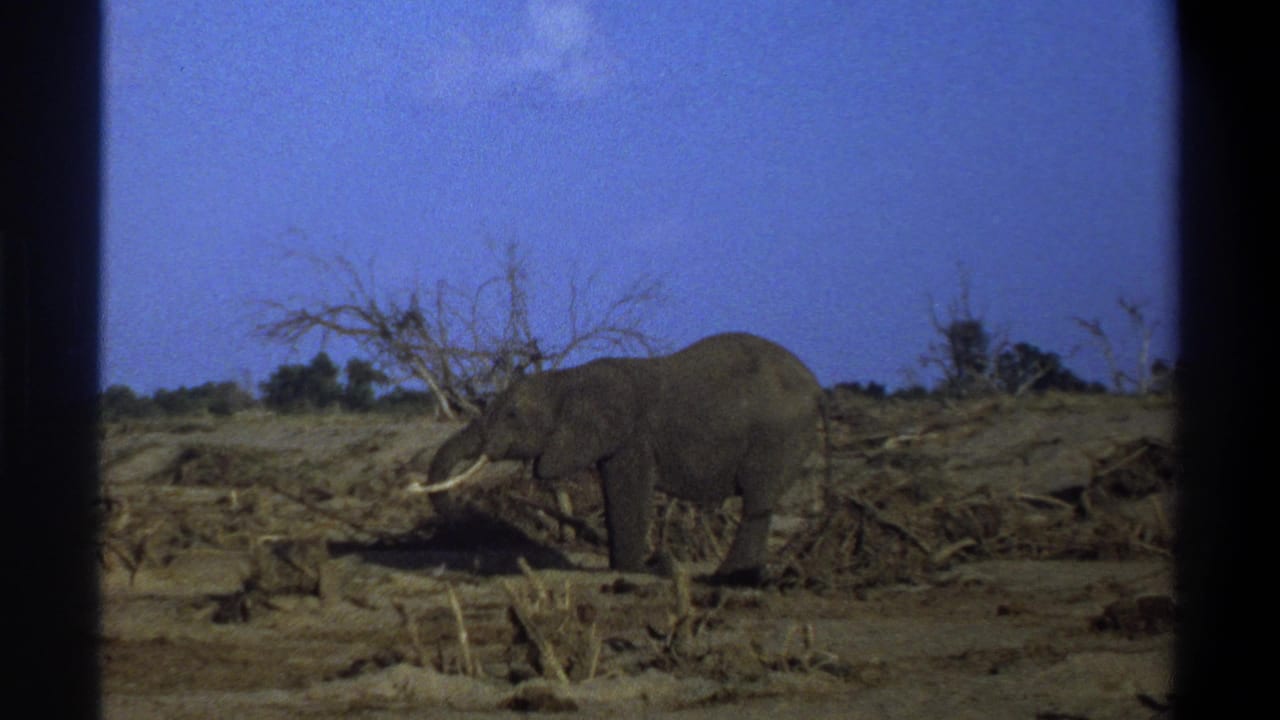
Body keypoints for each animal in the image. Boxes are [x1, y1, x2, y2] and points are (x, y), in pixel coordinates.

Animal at [413, 332, 825, 584]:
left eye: (512, 415)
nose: (463, 524)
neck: (569, 379)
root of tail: (817, 387)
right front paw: (629, 567)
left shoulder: (633, 437)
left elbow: (628, 490)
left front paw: (633, 569)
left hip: (777, 435)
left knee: (757, 498)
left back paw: (729, 578)